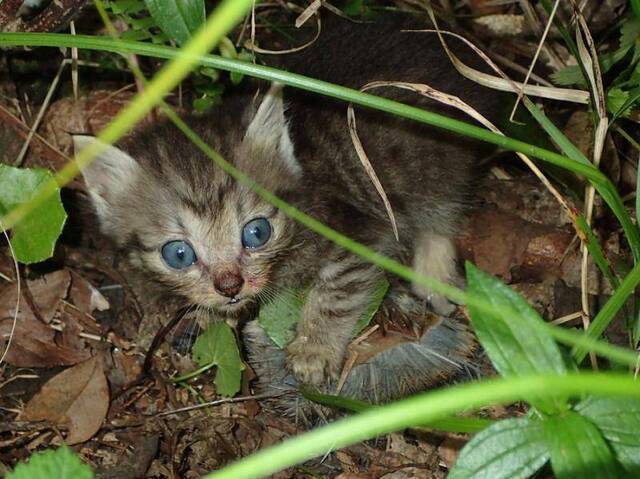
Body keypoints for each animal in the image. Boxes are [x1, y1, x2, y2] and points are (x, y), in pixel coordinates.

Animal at [75, 16, 502, 388]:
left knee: (441, 213)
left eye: (256, 232)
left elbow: (336, 293)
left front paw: (314, 350)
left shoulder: (356, 232)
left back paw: (433, 277)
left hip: (435, 162)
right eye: (178, 254)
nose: (230, 286)